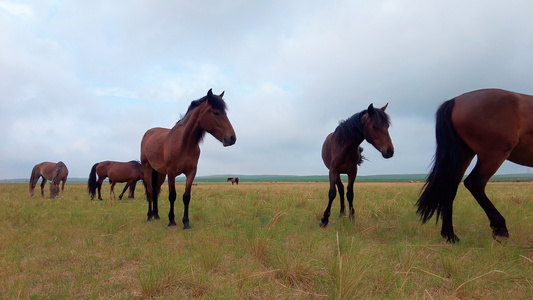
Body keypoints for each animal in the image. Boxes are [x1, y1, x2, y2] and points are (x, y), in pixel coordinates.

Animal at [140, 89, 236, 230]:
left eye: (225, 113)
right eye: (216, 113)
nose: (232, 138)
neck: (184, 143)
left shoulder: (191, 172)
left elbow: (186, 197)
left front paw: (186, 222)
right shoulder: (171, 173)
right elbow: (172, 196)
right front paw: (172, 221)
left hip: (159, 173)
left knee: (156, 191)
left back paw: (156, 215)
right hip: (147, 168)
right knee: (151, 191)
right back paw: (149, 216)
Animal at [416, 88, 532, 243]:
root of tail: (456, 100)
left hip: (463, 154)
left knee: (450, 187)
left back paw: (451, 236)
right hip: (492, 155)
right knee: (474, 183)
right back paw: (500, 229)